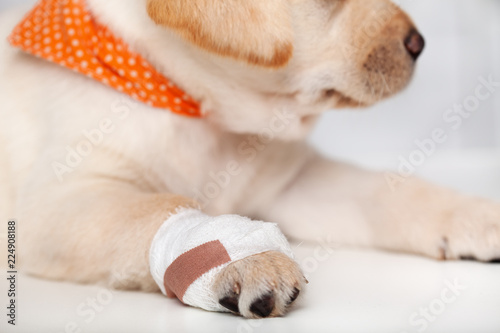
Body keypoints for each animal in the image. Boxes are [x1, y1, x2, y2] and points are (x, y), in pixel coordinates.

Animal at [0, 0, 498, 318]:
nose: (419, 43)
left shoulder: (295, 183)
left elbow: (388, 192)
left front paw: (475, 216)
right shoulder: (55, 204)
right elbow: (157, 206)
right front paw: (244, 259)